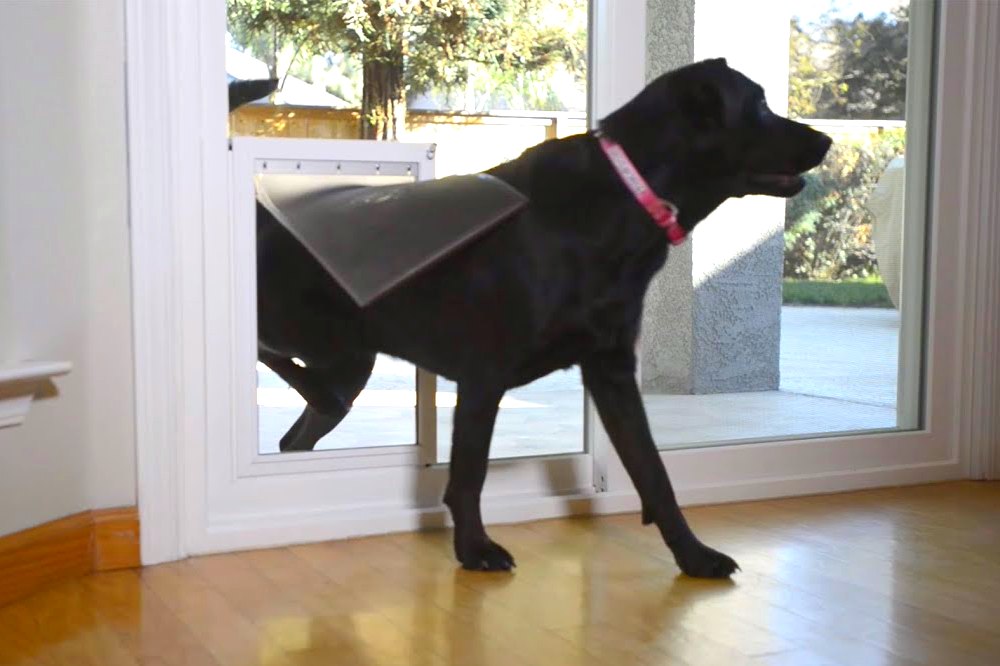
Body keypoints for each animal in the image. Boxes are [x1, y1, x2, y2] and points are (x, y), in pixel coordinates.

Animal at [250, 58, 828, 576]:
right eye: (758, 105)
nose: (825, 140)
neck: (625, 197)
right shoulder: (485, 374)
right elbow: (469, 472)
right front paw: (475, 550)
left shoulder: (612, 370)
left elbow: (653, 471)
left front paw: (693, 555)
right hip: (312, 332)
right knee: (266, 354)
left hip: (348, 358)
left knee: (295, 433)